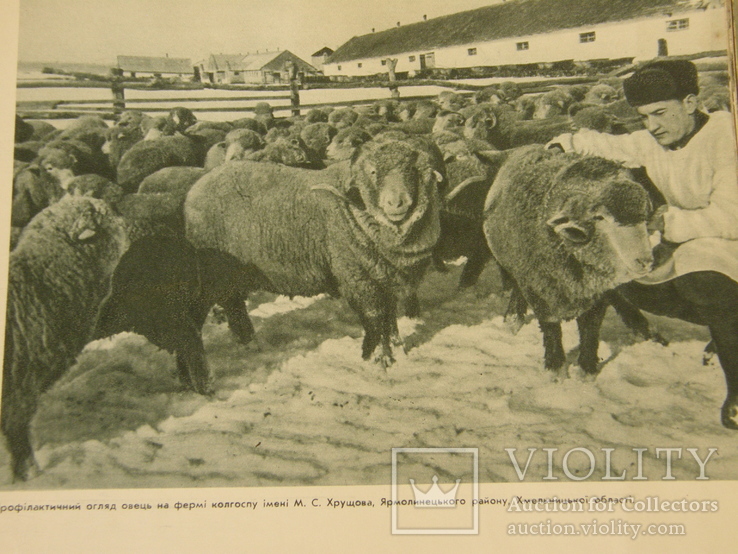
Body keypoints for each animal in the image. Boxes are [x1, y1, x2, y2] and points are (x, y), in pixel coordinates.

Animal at [184, 136, 442, 364]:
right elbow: (375, 317)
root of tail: (195, 189)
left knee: (234, 306)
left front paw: (397, 351)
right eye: (373, 172)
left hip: (231, 278)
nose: (396, 203)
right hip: (212, 275)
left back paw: (250, 343)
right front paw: (380, 358)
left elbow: (390, 317)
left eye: (412, 171)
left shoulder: (386, 278)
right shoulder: (359, 278)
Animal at [484, 144, 648, 376]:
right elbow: (551, 327)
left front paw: (586, 369)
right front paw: (555, 368)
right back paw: (513, 319)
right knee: (516, 286)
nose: (645, 261)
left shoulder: (598, 292)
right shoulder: (539, 289)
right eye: (600, 217)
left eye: (644, 217)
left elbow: (591, 327)